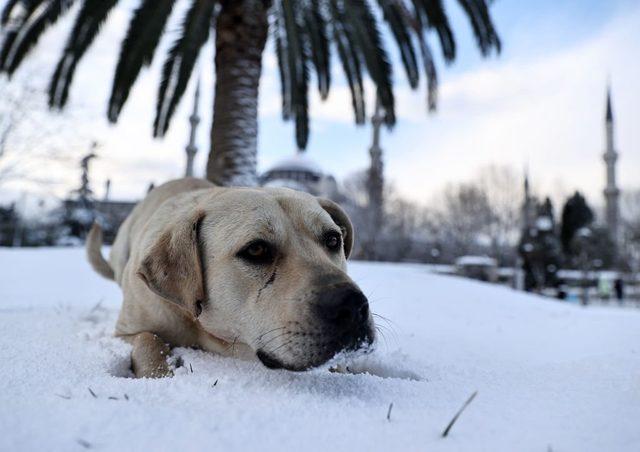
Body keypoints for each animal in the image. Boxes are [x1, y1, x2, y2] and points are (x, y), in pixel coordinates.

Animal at [87, 178, 372, 376]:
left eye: (333, 240)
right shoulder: (126, 331)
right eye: (256, 249)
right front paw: (159, 374)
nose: (352, 305)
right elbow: (148, 340)